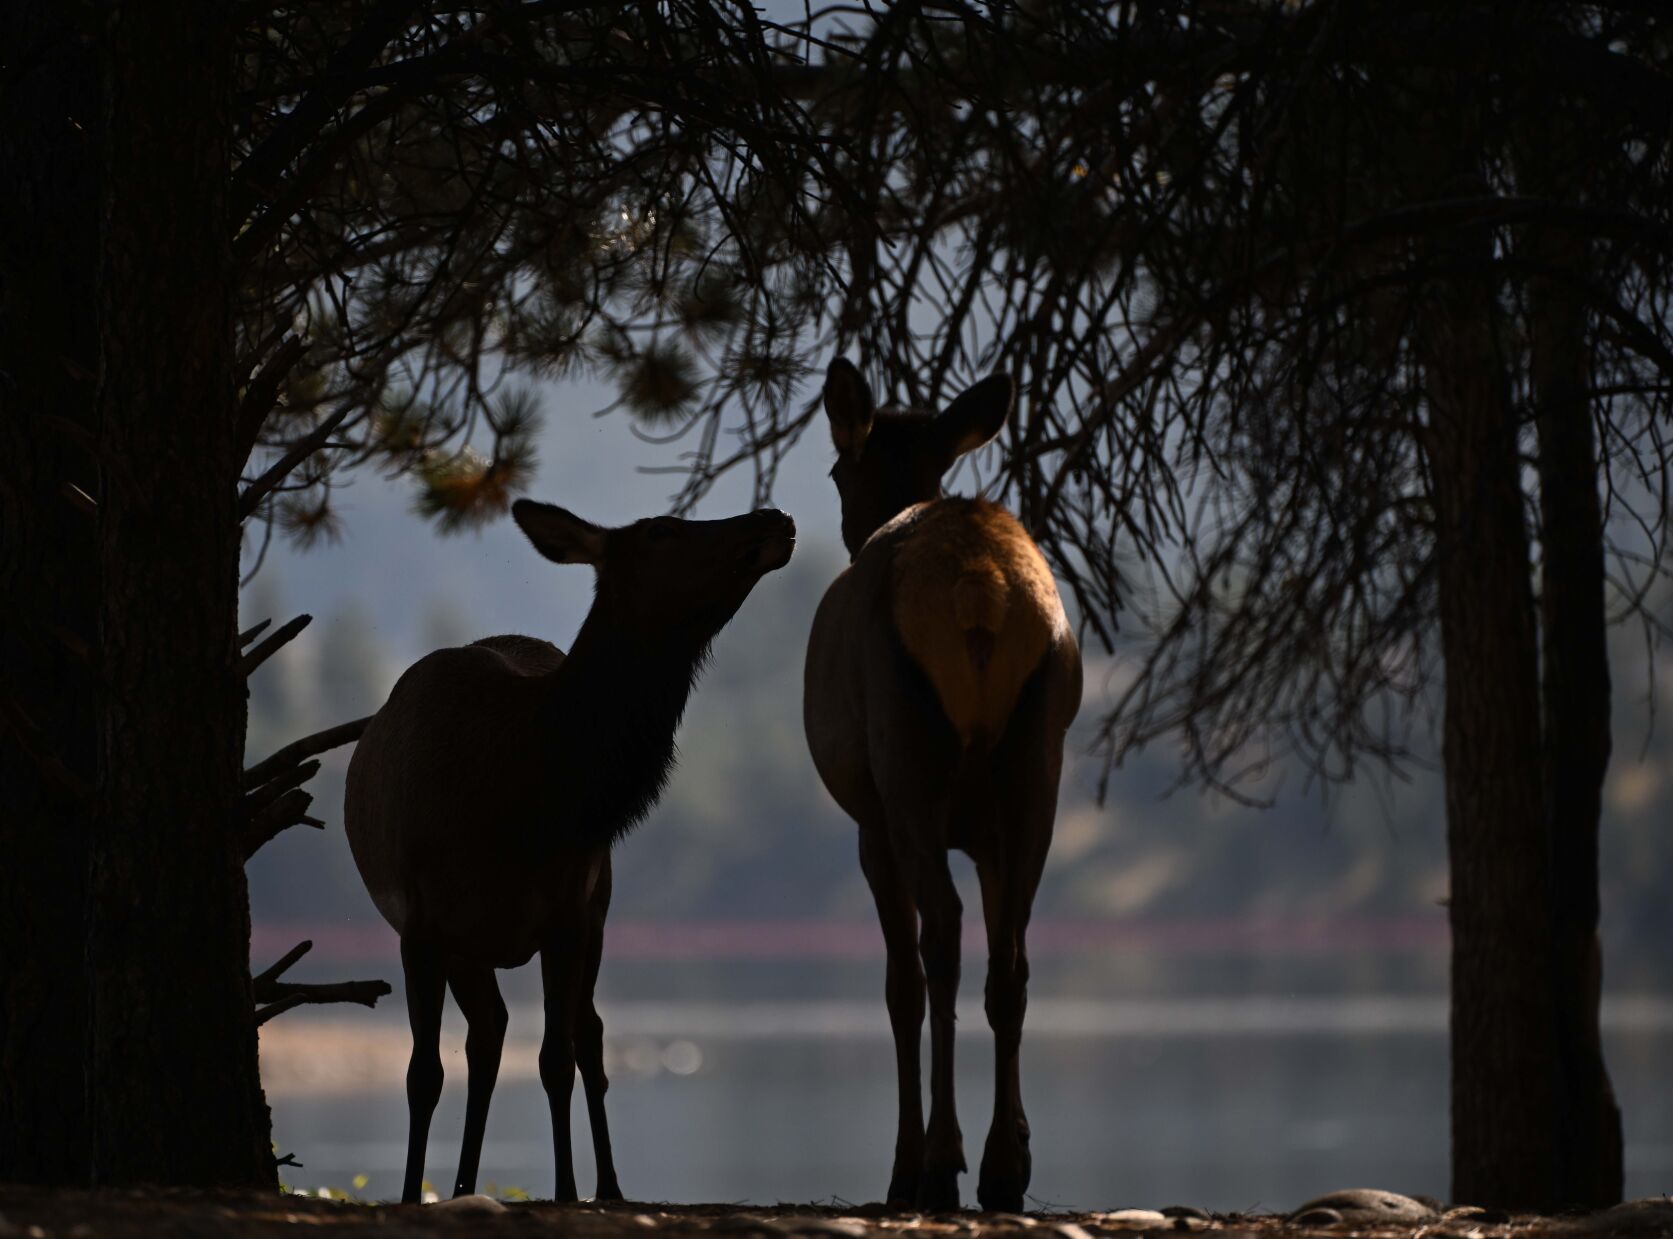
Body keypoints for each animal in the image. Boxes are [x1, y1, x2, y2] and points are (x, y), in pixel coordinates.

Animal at [344, 499, 796, 1205]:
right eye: (661, 529)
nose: (774, 517)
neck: (515, 802)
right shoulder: (421, 924)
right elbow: (423, 1073)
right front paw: (411, 1193)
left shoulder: (566, 915)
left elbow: (555, 1059)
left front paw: (565, 1189)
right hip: (470, 942)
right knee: (490, 1033)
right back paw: (464, 1183)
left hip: (596, 908)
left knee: (583, 1034)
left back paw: (605, 1185)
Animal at [803, 359, 1082, 1213]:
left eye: (837, 468)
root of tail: (977, 592)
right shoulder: (987, 836)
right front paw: (1014, 1141)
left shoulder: (870, 825)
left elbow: (900, 986)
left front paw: (904, 1164)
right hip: (1035, 763)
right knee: (1009, 957)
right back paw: (1002, 1167)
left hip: (906, 766)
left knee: (943, 940)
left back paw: (936, 1163)